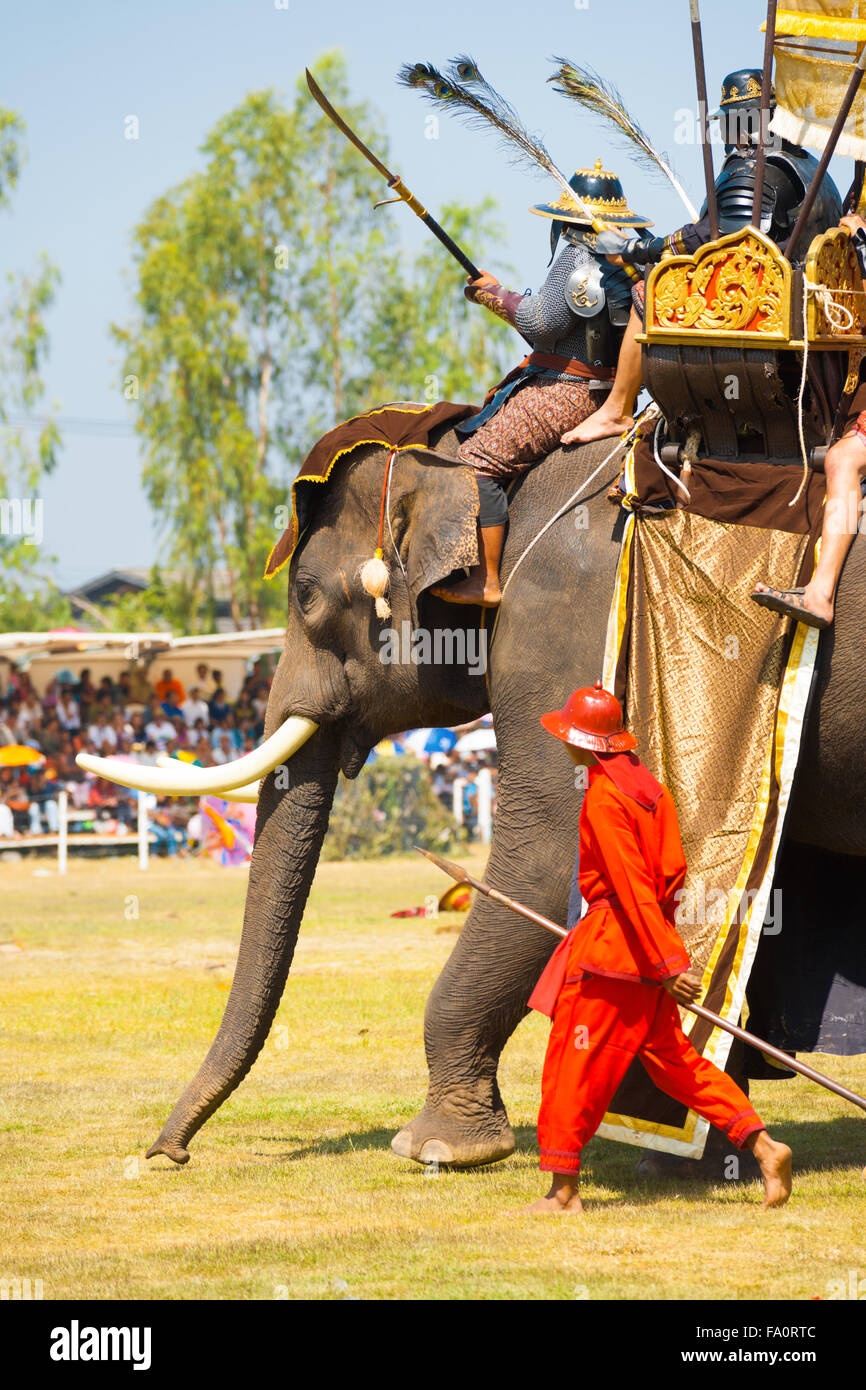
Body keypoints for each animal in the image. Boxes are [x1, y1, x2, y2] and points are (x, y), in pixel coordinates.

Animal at [79, 428, 866, 1167]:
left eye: (305, 595)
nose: (167, 1152)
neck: (466, 462)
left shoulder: (559, 622)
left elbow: (547, 859)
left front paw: (437, 1147)